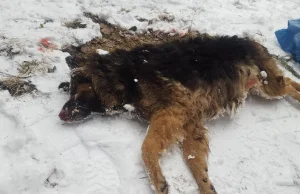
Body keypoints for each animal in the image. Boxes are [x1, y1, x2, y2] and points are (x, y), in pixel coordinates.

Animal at [57, 35, 300, 194]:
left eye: (75, 91)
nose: (60, 115)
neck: (125, 77)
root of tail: (249, 40)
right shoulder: (191, 123)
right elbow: (195, 162)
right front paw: (206, 186)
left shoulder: (171, 113)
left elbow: (147, 148)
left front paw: (158, 181)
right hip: (261, 87)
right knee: (288, 83)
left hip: (269, 86)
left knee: (288, 83)